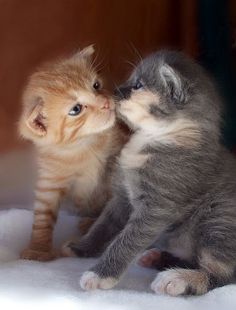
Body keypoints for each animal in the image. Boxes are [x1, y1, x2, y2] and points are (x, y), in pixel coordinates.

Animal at [18, 44, 123, 260]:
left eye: (96, 85)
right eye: (76, 109)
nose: (106, 102)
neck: (85, 145)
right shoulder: (49, 180)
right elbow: (43, 215)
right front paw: (38, 249)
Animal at [62, 50, 236, 296]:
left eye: (137, 85)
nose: (111, 92)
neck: (156, 137)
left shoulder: (157, 208)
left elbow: (126, 240)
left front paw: (100, 274)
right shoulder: (122, 196)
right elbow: (103, 225)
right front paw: (81, 247)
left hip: (220, 217)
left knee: (223, 276)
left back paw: (178, 279)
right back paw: (158, 258)